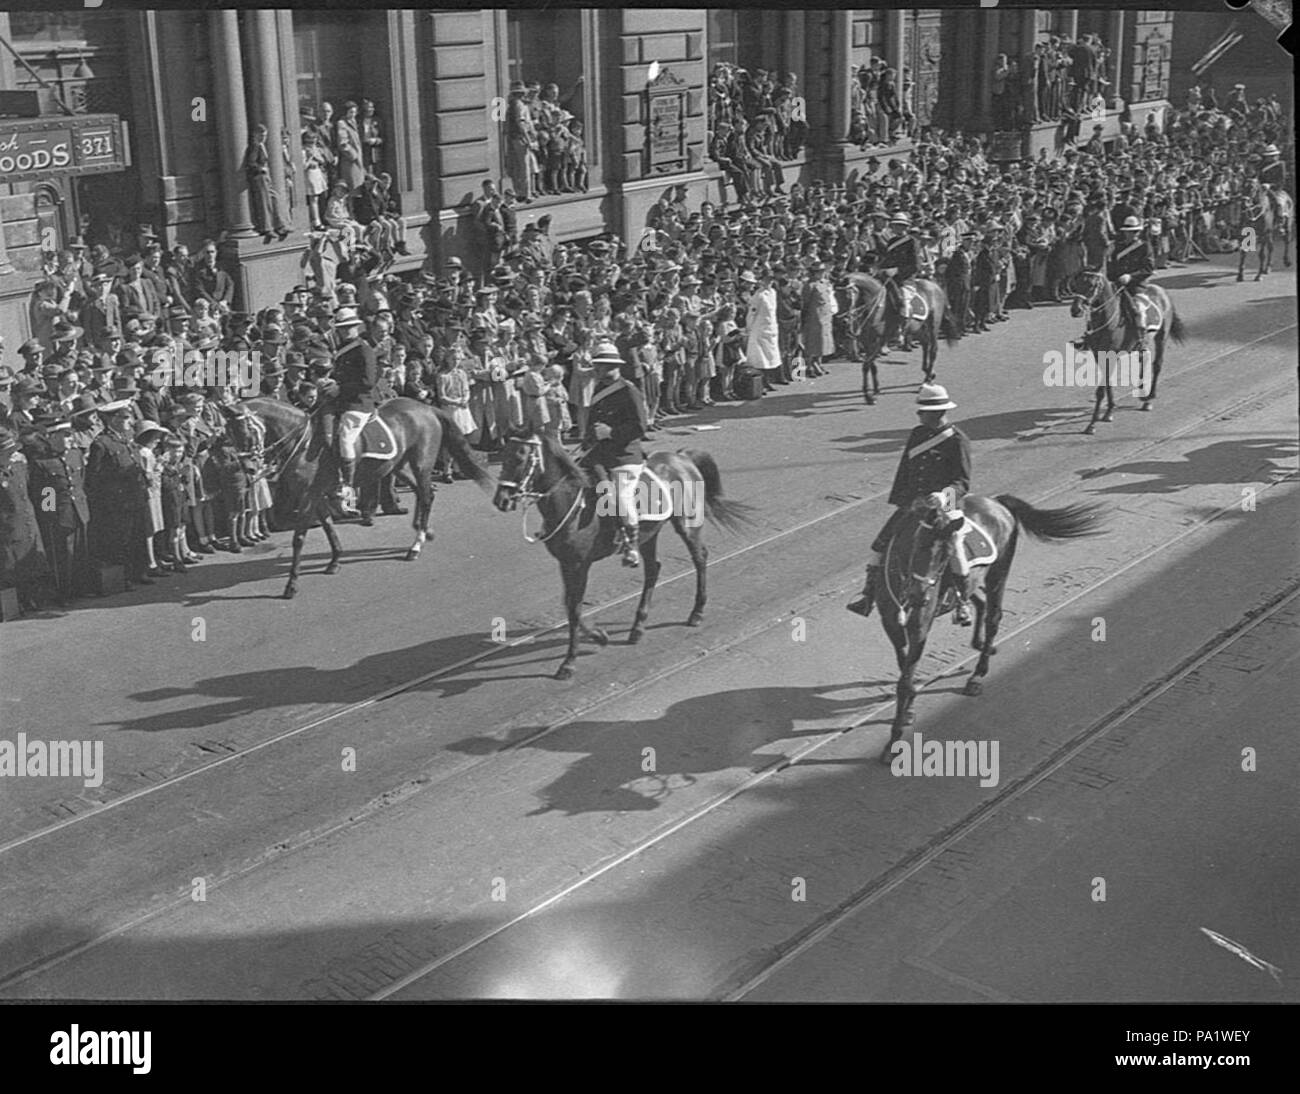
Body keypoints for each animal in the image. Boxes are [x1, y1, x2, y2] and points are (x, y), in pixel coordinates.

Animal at [228, 394, 488, 597]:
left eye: (246, 430)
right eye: (229, 435)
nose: (248, 469)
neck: (303, 443)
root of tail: (426, 407)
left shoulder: (309, 496)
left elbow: (299, 538)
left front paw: (291, 585)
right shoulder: (315, 494)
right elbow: (328, 526)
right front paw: (335, 561)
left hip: (420, 463)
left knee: (425, 494)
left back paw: (415, 545)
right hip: (398, 466)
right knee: (426, 494)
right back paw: (423, 531)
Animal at [491, 431, 759, 675]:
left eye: (521, 457)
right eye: (503, 458)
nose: (501, 500)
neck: (571, 502)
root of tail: (681, 457)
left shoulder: (579, 564)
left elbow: (574, 608)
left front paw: (570, 661)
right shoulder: (566, 563)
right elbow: (569, 606)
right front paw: (598, 636)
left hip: (687, 524)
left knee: (699, 558)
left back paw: (697, 612)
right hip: (649, 533)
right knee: (653, 569)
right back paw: (638, 627)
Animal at [873, 491, 1107, 758]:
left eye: (946, 555)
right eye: (918, 545)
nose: (920, 596)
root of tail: (996, 502)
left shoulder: (919, 627)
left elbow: (904, 679)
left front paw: (893, 742)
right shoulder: (891, 623)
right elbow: (904, 668)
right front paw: (908, 710)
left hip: (999, 572)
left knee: (993, 616)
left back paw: (977, 675)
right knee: (978, 601)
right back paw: (979, 640)